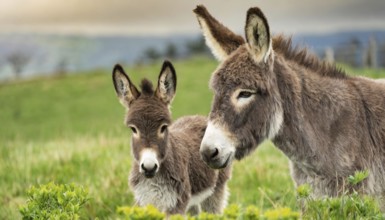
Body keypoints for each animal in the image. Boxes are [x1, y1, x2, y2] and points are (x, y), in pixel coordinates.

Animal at [112, 60, 230, 215]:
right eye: (133, 129)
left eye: (163, 127)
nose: (149, 167)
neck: (154, 180)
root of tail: (198, 117)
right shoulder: (146, 202)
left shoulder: (176, 205)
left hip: (215, 192)